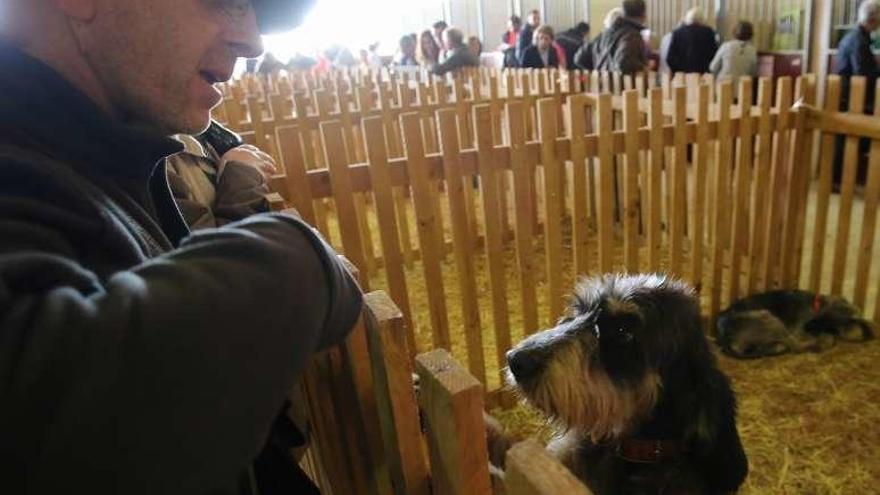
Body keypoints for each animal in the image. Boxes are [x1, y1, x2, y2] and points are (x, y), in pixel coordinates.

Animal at [716, 288, 872, 358]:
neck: (816, 305)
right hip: (770, 320)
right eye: (851, 319)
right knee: (794, 346)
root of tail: (725, 339)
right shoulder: (801, 330)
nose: (867, 334)